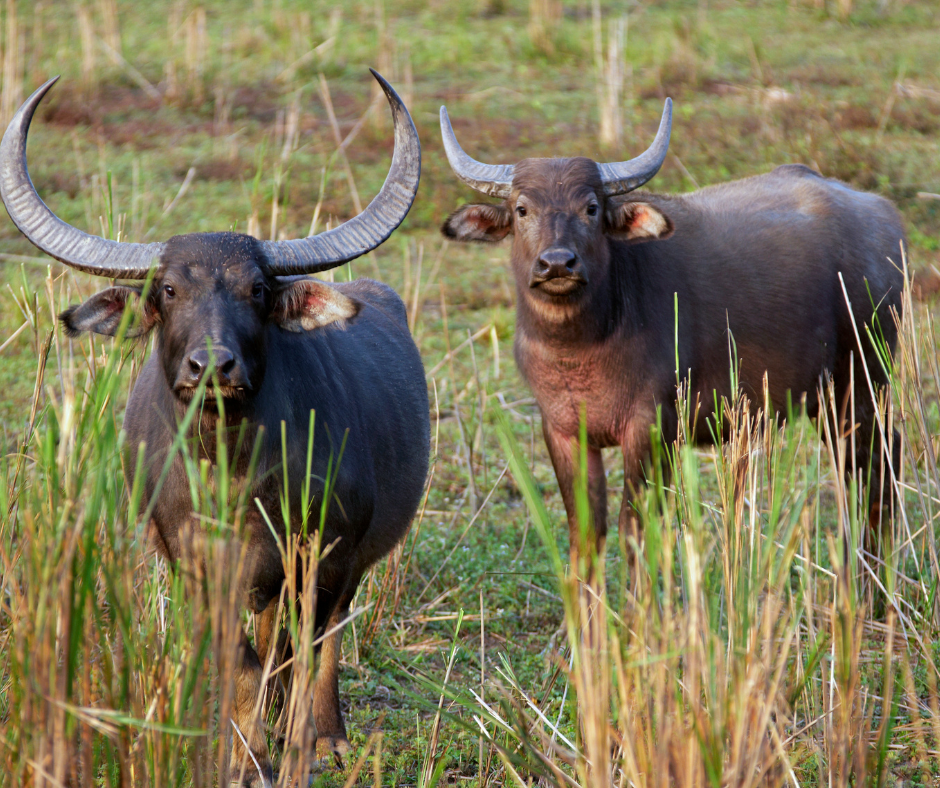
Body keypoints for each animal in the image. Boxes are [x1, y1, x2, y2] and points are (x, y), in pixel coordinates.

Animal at [2, 71, 430, 784]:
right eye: (169, 290)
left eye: (257, 289)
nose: (213, 366)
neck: (232, 476)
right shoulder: (193, 563)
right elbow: (244, 661)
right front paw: (245, 755)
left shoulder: (324, 550)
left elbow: (295, 648)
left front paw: (295, 743)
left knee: (324, 635)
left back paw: (324, 734)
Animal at [438, 101, 904, 576]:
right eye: (521, 209)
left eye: (591, 207)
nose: (557, 264)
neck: (581, 348)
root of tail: (882, 215)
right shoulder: (563, 431)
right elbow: (585, 534)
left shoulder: (651, 427)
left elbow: (635, 529)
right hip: (826, 401)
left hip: (863, 383)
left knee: (879, 470)